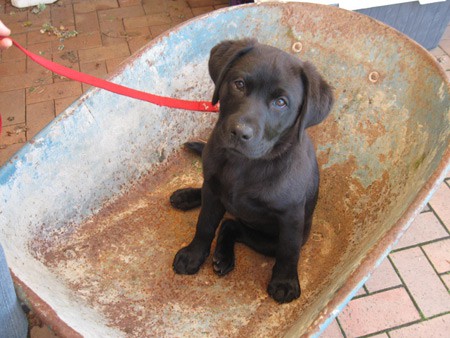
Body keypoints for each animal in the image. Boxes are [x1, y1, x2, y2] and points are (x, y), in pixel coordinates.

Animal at [171, 39, 332, 304]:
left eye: (281, 102)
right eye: (239, 84)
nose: (239, 132)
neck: (245, 163)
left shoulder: (291, 216)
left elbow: (289, 252)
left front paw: (285, 282)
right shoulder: (214, 194)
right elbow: (204, 224)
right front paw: (193, 255)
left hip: (269, 240)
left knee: (232, 225)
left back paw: (224, 255)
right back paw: (186, 196)